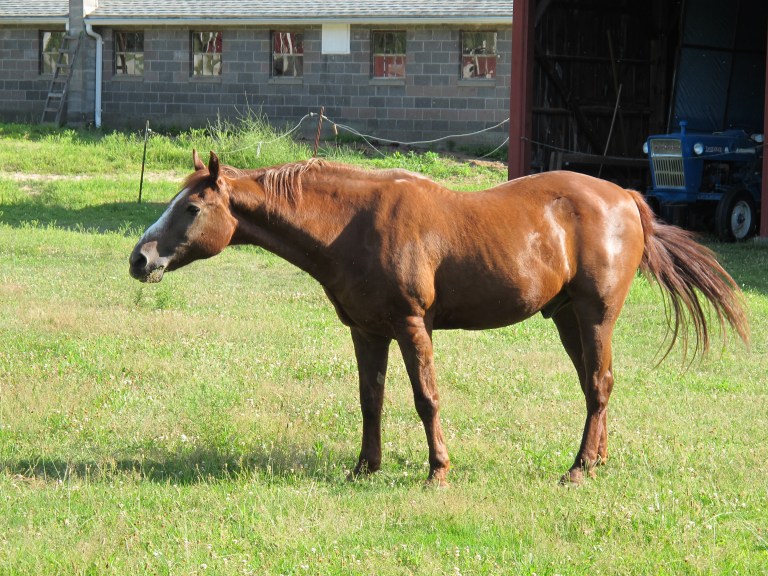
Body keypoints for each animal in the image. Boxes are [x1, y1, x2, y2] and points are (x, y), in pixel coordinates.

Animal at [129, 150, 749, 485]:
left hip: (596, 316)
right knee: (597, 387)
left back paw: (577, 470)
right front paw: (365, 468)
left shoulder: (411, 326)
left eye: (191, 208)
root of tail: (625, 196)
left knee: (598, 385)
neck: (351, 223)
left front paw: (438, 470)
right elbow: (371, 399)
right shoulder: (367, 330)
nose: (140, 259)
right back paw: (594, 461)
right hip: (568, 319)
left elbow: (425, 398)